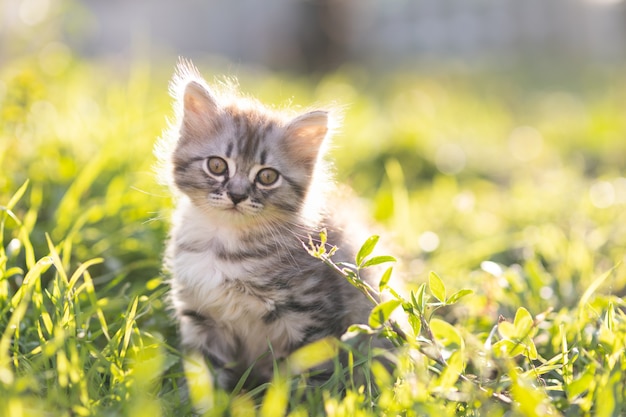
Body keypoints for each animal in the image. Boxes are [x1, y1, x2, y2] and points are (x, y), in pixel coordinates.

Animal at [158, 59, 382, 390]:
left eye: (266, 176)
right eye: (217, 165)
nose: (237, 195)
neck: (225, 247)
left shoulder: (311, 318)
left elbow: (312, 379)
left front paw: (304, 399)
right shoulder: (203, 320)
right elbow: (208, 379)